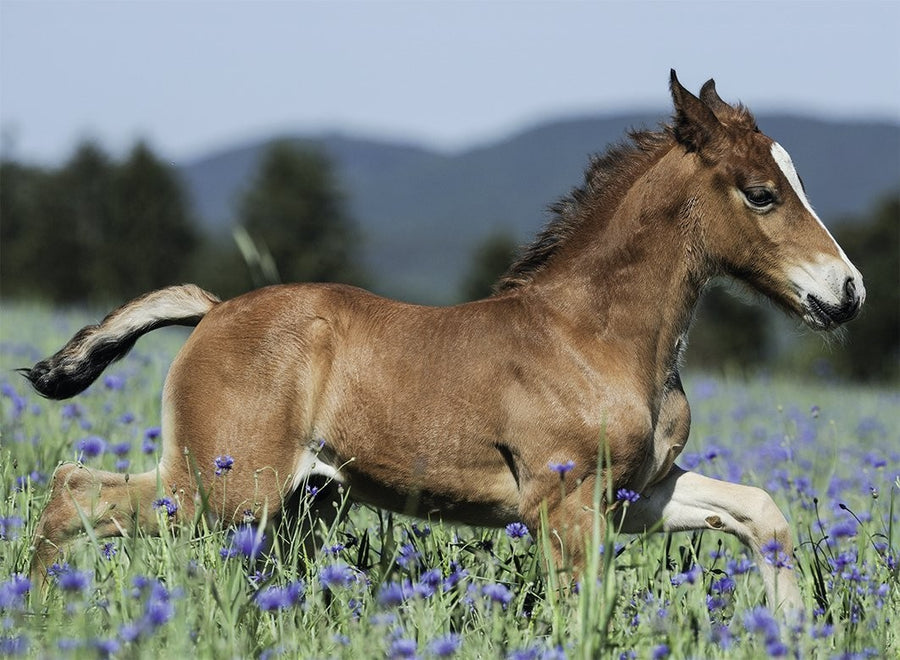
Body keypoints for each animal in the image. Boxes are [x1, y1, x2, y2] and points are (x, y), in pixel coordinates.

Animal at [23, 71, 864, 614]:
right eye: (762, 193)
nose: (847, 291)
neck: (592, 337)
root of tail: (215, 310)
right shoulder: (564, 501)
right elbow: (581, 610)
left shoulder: (636, 496)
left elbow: (760, 513)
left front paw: (794, 629)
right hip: (227, 488)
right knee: (72, 492)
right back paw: (40, 610)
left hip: (297, 503)